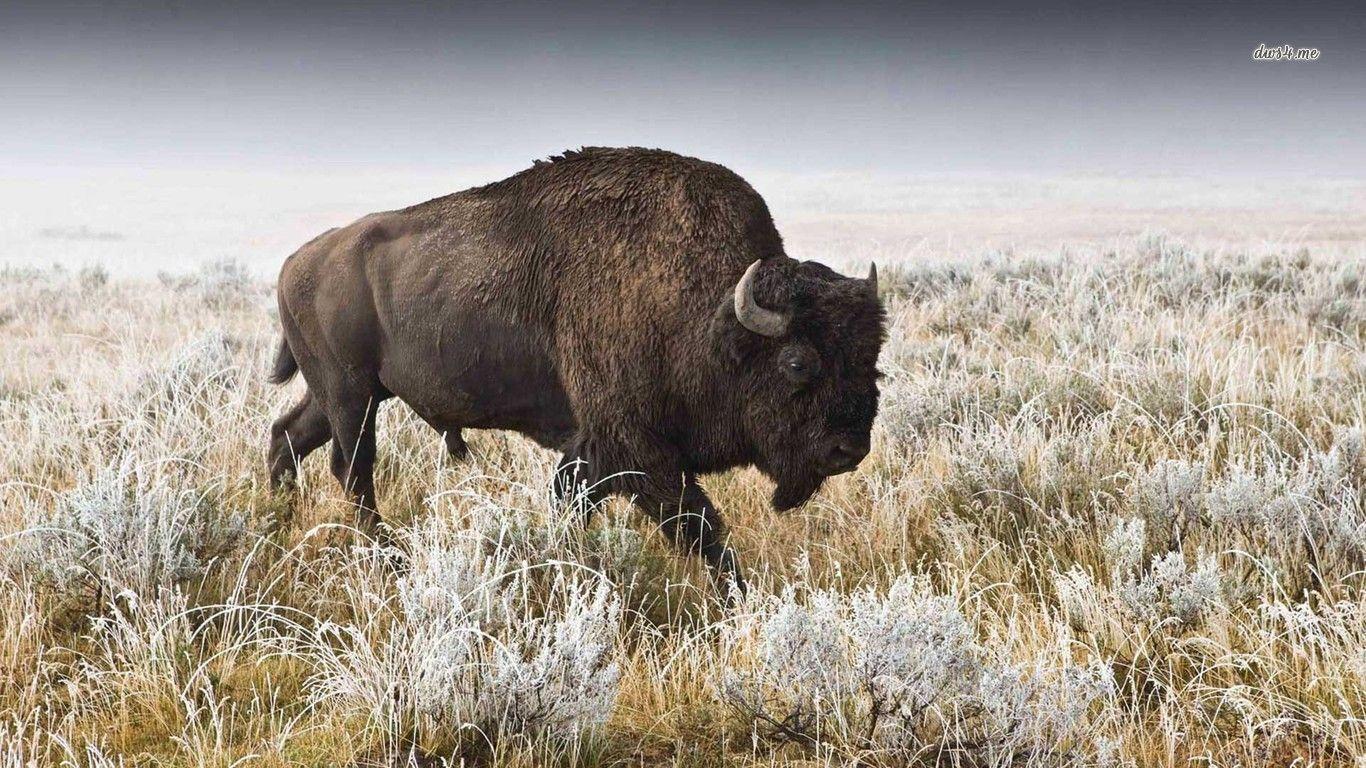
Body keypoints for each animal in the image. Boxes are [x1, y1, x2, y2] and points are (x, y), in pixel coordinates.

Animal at [267, 147, 886, 591]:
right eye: (797, 362)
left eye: (873, 361)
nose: (848, 449)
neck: (708, 313)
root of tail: (296, 262)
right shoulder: (637, 452)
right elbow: (698, 527)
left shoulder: (599, 451)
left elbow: (581, 504)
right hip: (351, 393)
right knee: (352, 467)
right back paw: (387, 558)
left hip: (342, 393)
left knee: (288, 437)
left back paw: (277, 522)